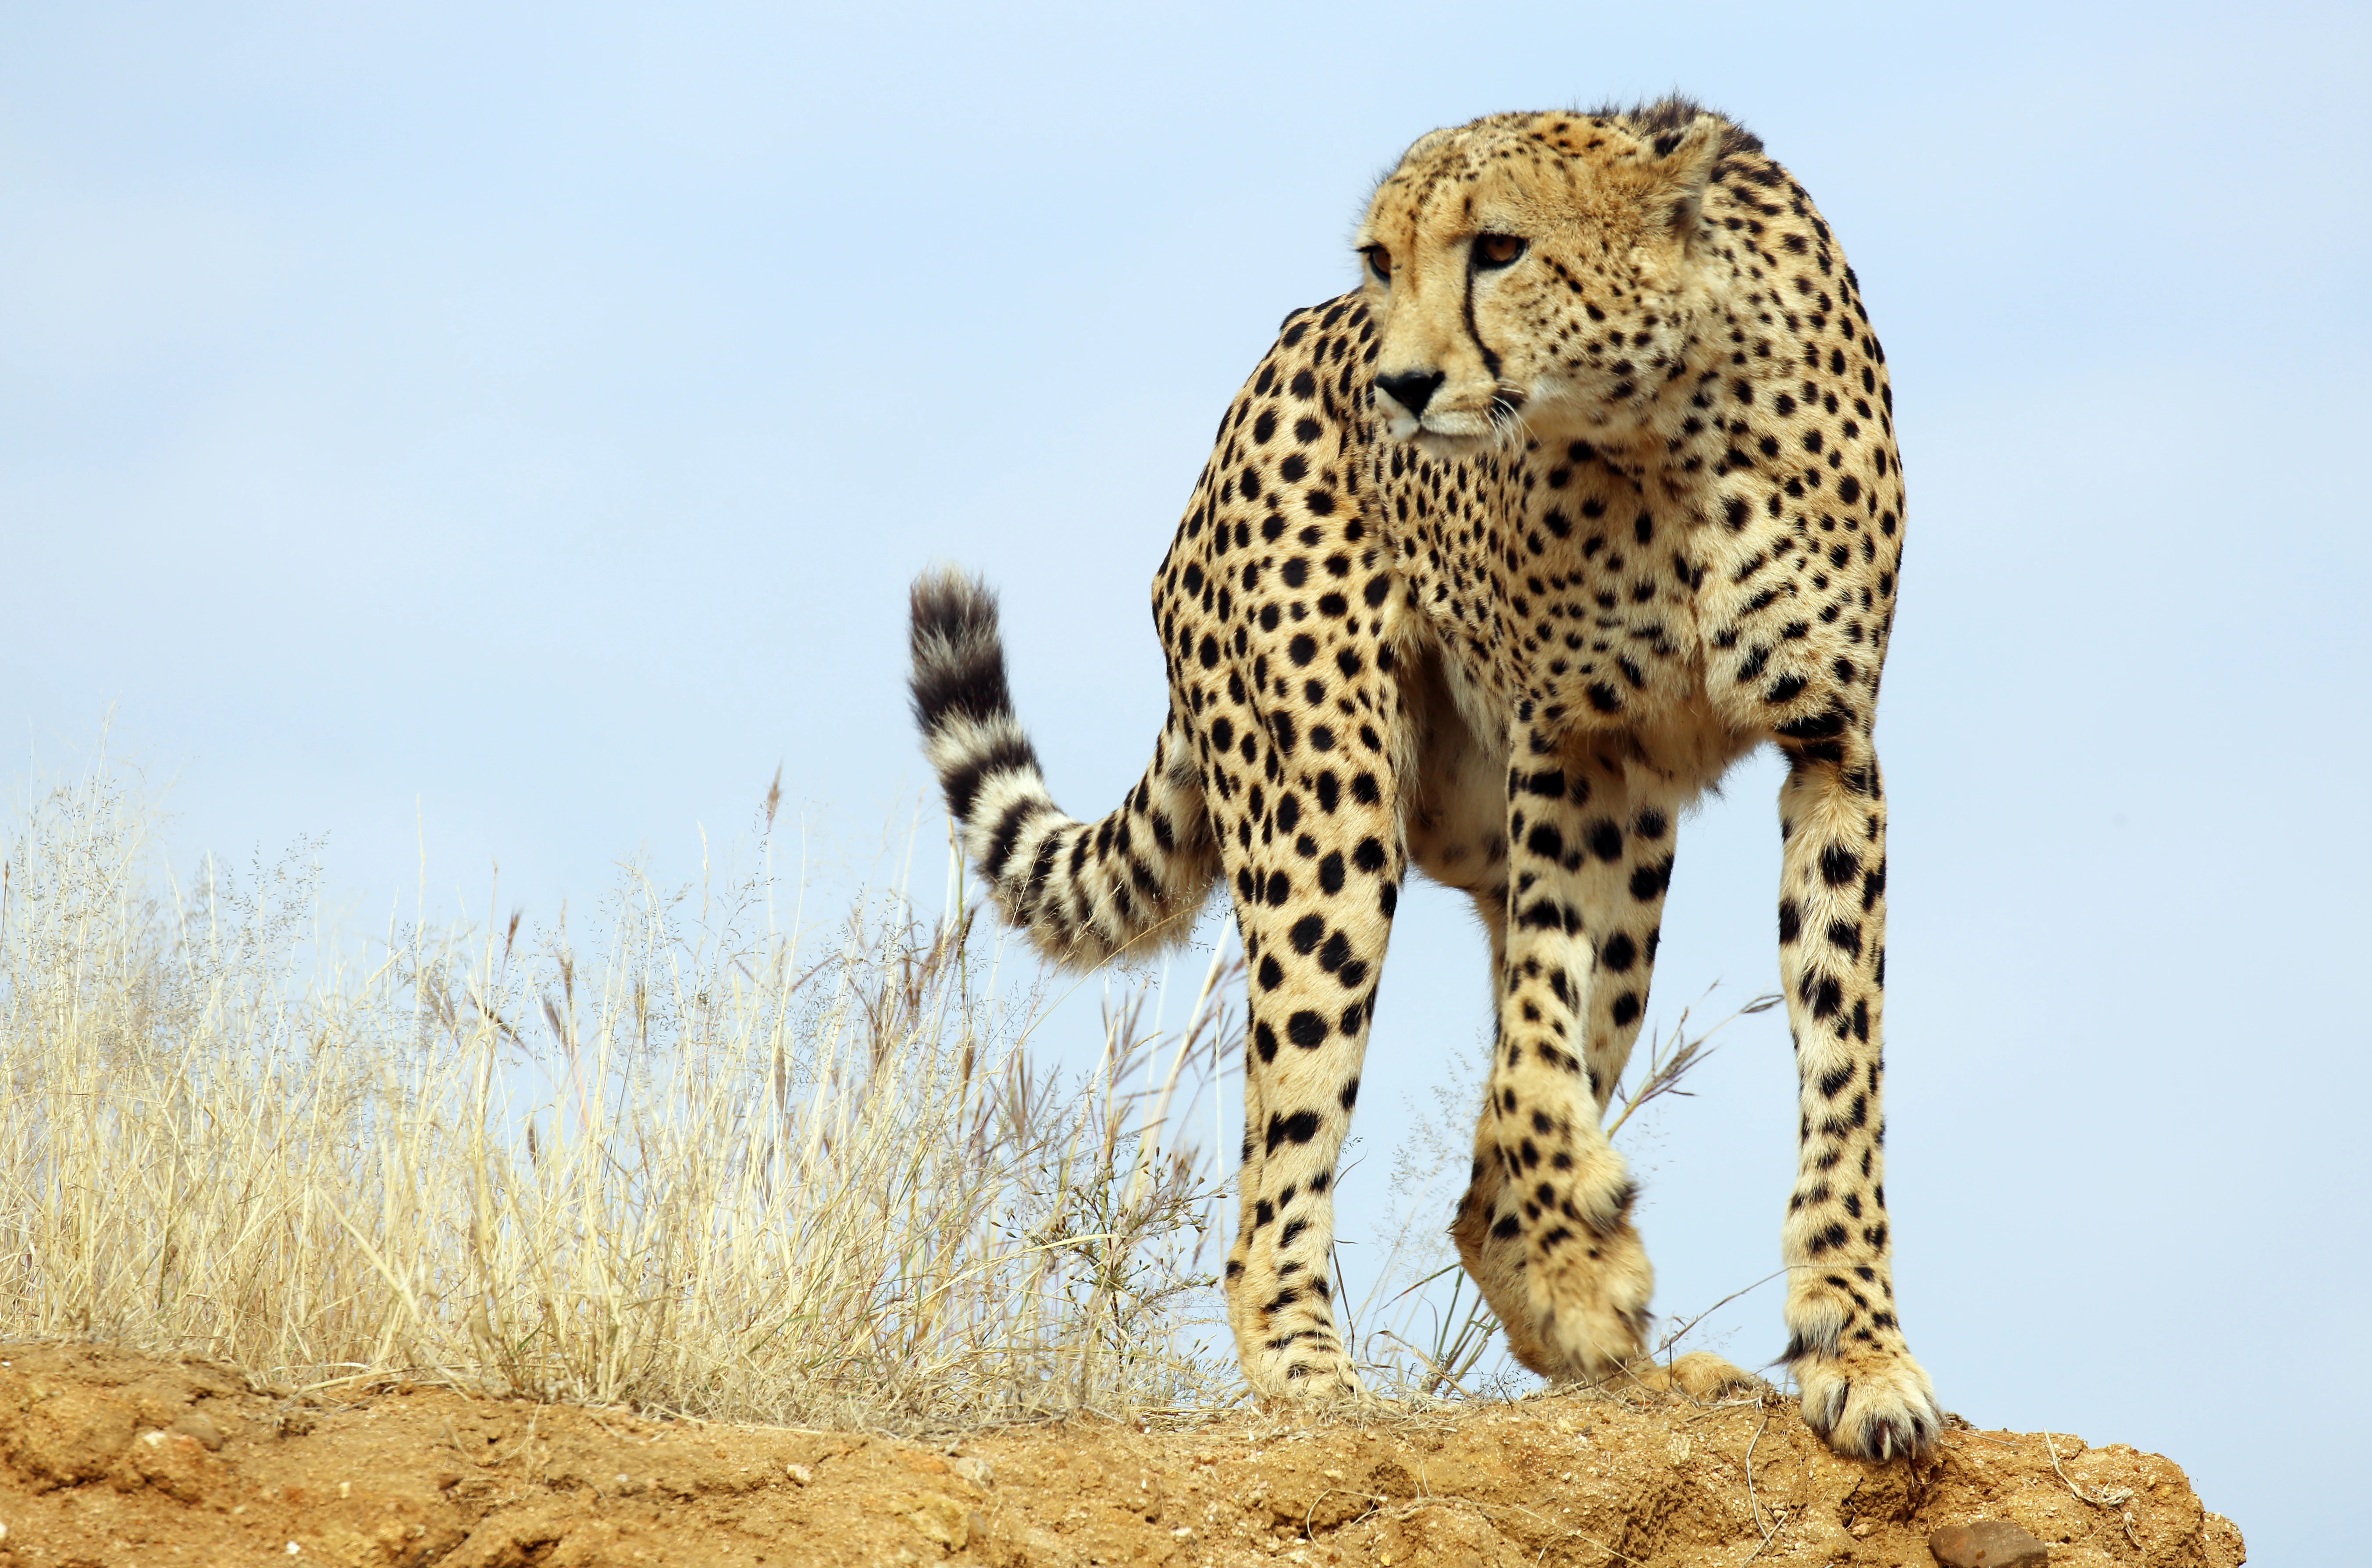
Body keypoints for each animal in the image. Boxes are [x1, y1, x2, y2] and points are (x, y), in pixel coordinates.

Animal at [906, 97, 1940, 1461]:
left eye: (1497, 248)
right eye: (1380, 260)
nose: (1396, 386)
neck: (1661, 426)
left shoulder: (1828, 751)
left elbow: (1838, 1063)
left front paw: (1855, 1348)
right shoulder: (1570, 754)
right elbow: (1529, 1058)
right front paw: (1582, 1257)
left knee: (1483, 1162)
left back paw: (1619, 1355)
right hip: (1331, 819)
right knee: (1286, 1165)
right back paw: (1323, 1373)